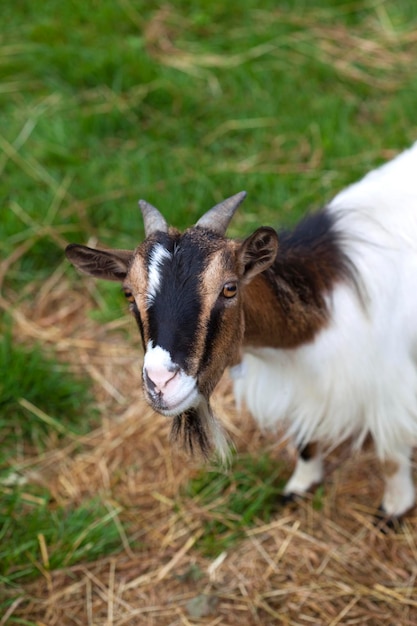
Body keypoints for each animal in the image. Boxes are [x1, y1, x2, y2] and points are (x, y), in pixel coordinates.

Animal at [66, 144, 416, 520]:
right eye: (128, 294)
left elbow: (390, 453)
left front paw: (394, 508)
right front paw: (300, 485)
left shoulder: (387, 386)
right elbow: (305, 438)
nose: (161, 383)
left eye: (230, 288)